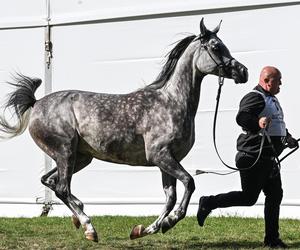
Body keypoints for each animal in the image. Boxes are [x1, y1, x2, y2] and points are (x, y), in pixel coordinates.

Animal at [0, 19, 247, 242]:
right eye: (215, 46)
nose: (243, 72)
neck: (172, 103)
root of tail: (36, 103)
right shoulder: (161, 156)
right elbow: (189, 183)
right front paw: (170, 221)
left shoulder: (166, 161)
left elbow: (170, 197)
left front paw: (144, 230)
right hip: (65, 153)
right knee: (61, 187)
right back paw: (89, 228)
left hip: (80, 158)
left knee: (50, 181)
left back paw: (78, 218)